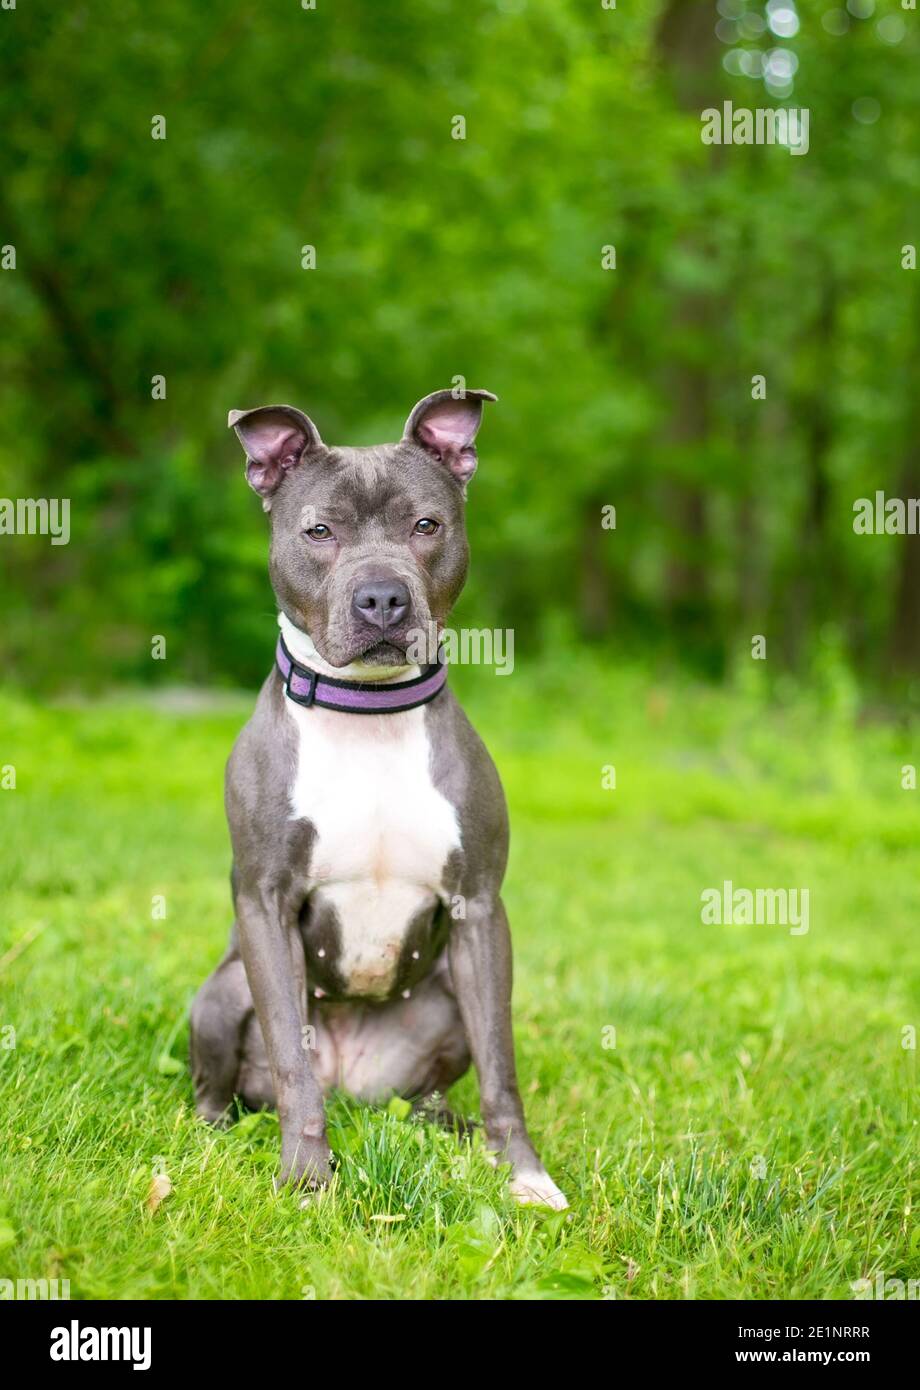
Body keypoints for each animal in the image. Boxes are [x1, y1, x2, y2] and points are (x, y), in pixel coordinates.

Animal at [190, 389, 569, 1206]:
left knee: (428, 1092)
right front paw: (307, 1180)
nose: (382, 598)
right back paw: (210, 1135)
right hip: (223, 992)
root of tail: (352, 1087)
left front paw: (523, 1173)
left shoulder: (479, 907)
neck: (366, 715)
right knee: (231, 1085)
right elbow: (292, 1063)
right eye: (319, 530)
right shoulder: (265, 903)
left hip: (445, 1002)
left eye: (426, 525)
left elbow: (502, 1064)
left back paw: (453, 1131)